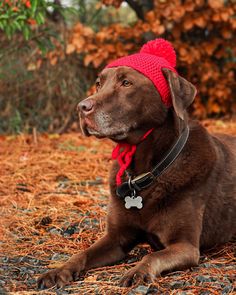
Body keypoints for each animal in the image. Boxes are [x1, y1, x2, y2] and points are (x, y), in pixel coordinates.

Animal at [37, 66, 235, 290]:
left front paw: (137, 271)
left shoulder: (186, 246)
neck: (144, 172)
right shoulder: (116, 239)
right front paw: (58, 270)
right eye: (98, 84)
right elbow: (83, 253)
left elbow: (152, 256)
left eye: (126, 83)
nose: (81, 107)